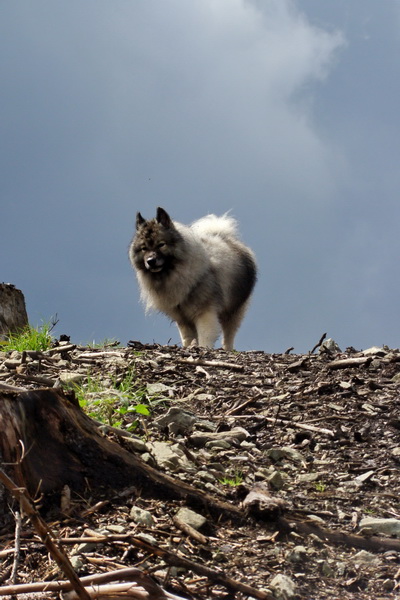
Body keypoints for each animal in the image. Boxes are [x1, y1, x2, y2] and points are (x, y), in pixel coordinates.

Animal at [130, 206, 258, 350]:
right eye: (143, 248)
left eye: (161, 244)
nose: (151, 261)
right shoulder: (183, 319)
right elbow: (187, 338)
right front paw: (189, 347)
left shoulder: (205, 313)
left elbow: (205, 337)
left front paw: (203, 348)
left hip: (234, 311)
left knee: (229, 336)